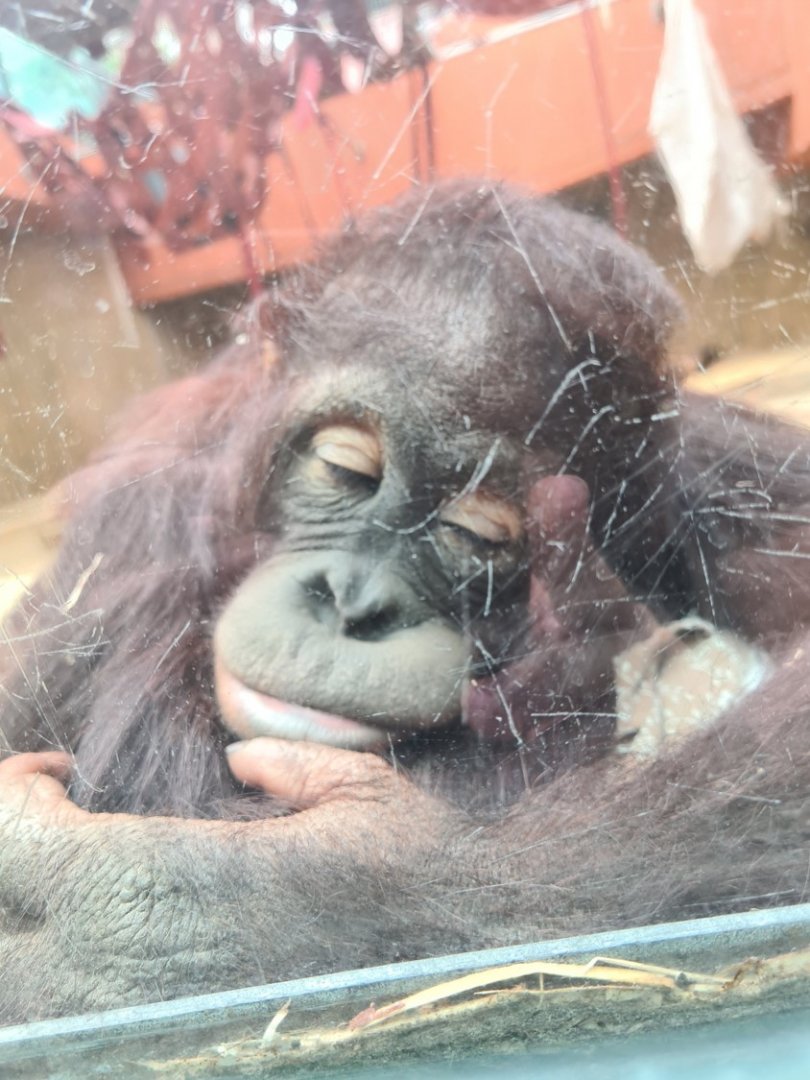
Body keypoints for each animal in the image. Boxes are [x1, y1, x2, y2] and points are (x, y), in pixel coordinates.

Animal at [1, 180, 809, 1023]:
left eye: (476, 530)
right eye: (343, 465)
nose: (353, 606)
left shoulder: (713, 472)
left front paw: (195, 895)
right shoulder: (138, 531)